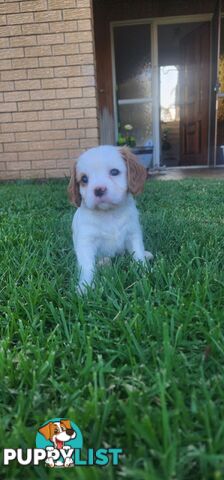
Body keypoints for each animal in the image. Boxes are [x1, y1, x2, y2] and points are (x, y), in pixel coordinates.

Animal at [68, 144, 152, 292]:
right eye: (84, 179)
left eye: (114, 172)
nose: (98, 189)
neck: (109, 214)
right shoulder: (86, 242)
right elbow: (87, 267)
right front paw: (85, 288)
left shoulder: (133, 233)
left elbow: (138, 254)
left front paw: (143, 273)